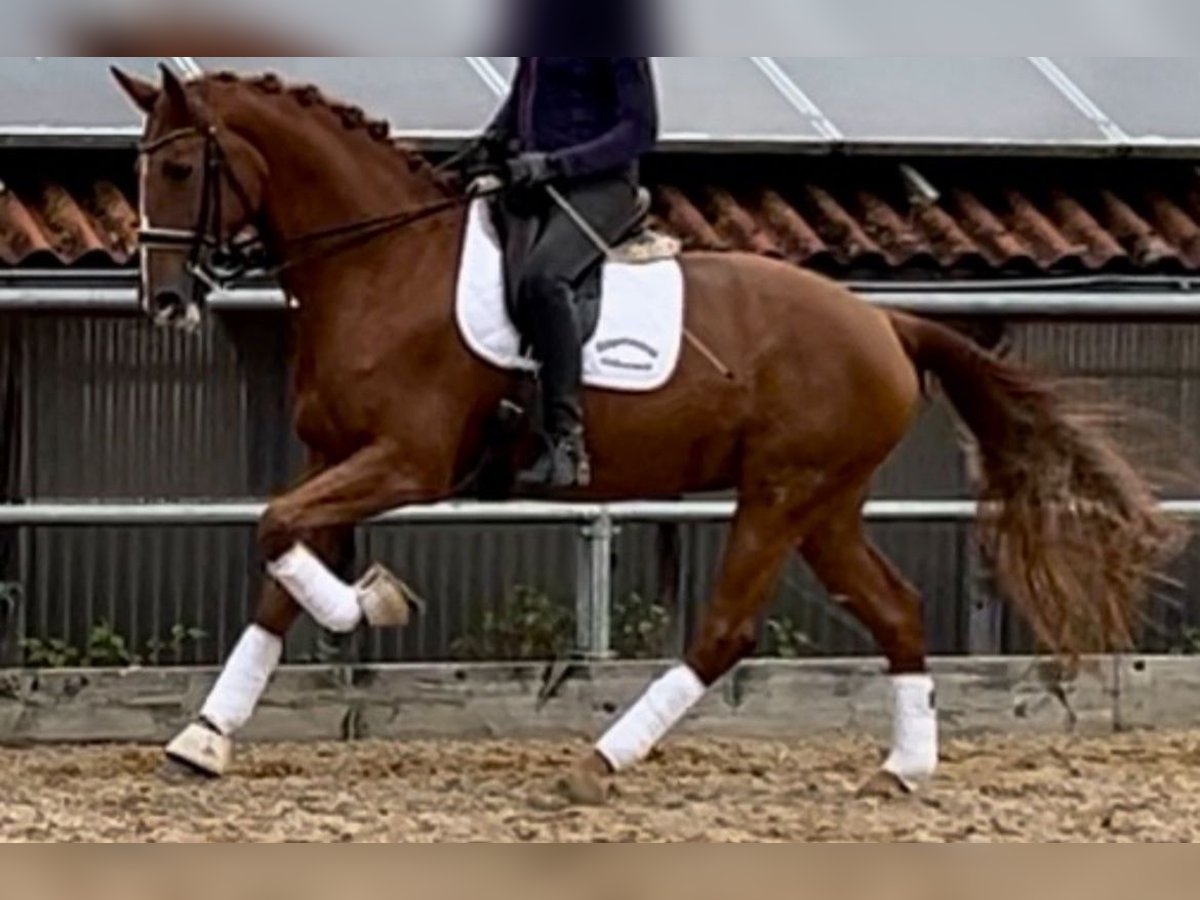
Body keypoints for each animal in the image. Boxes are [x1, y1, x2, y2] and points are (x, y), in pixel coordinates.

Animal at [117, 66, 1185, 801]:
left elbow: (275, 532)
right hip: (827, 503)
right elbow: (278, 571)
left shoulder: (403, 463)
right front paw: (203, 738)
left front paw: (374, 601)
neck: (384, 263)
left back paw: (598, 762)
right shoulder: (334, 458)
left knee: (725, 631)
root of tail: (884, 322)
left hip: (781, 493)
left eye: (181, 166)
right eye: (142, 169)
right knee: (896, 610)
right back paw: (902, 770)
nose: (165, 303)